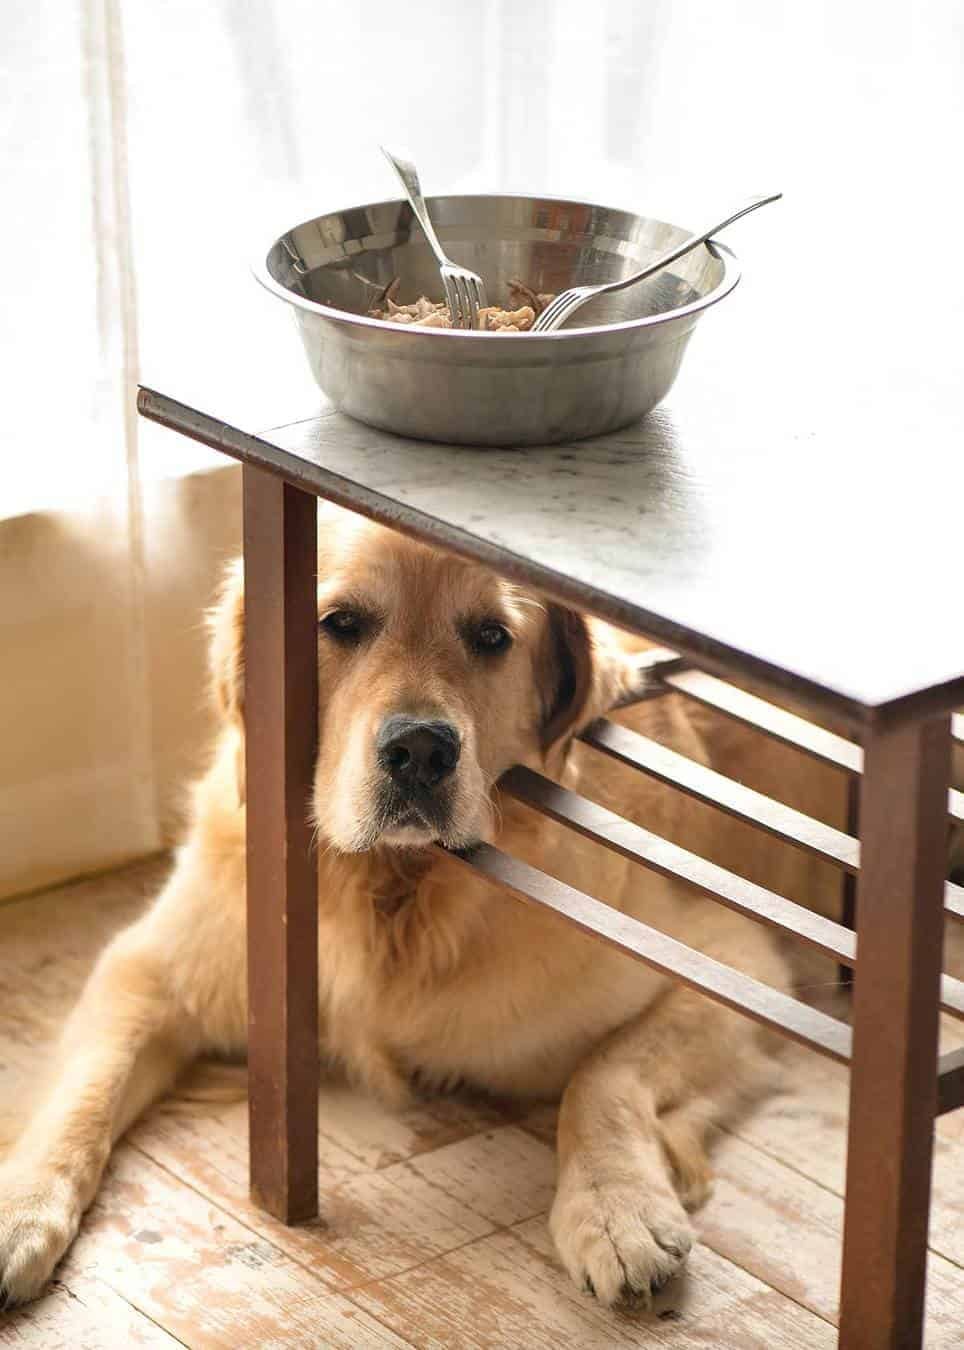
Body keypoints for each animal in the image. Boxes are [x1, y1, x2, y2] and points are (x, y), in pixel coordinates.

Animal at [0, 504, 815, 1306]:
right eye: (341, 623)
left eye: (492, 636)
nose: (421, 751)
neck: (395, 892)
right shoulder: (149, 966)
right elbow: (84, 1089)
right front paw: (19, 1210)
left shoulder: (736, 963)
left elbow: (602, 1078)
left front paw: (617, 1212)